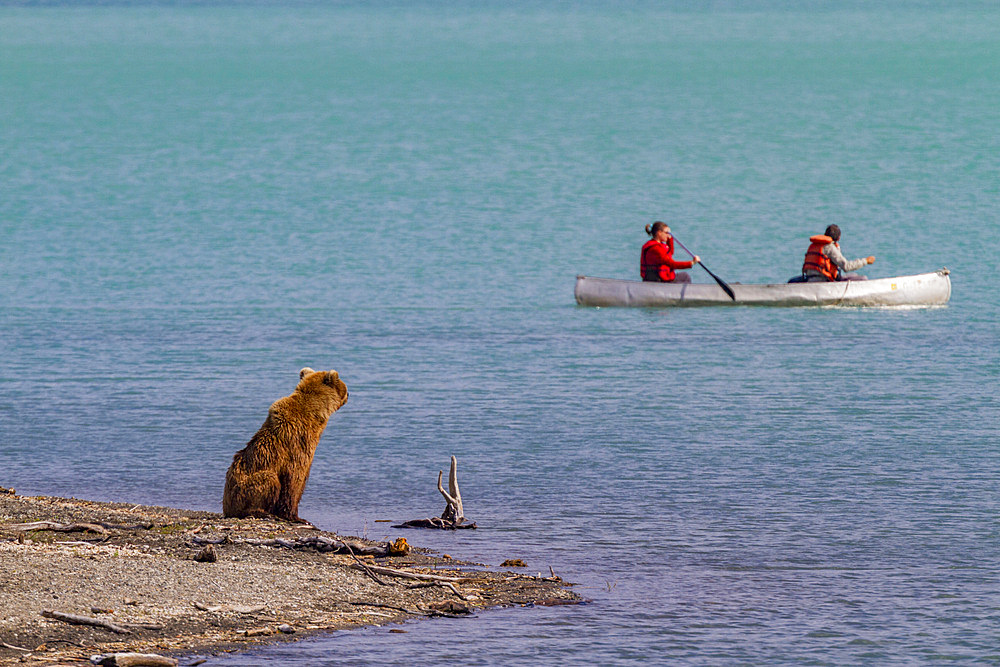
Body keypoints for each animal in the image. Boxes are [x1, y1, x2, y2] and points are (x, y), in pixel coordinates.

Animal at [225, 368, 350, 524]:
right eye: (345, 387)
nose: (349, 394)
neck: (316, 416)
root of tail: (226, 508)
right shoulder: (298, 444)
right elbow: (293, 481)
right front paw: (297, 517)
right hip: (240, 491)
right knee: (268, 479)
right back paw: (261, 512)